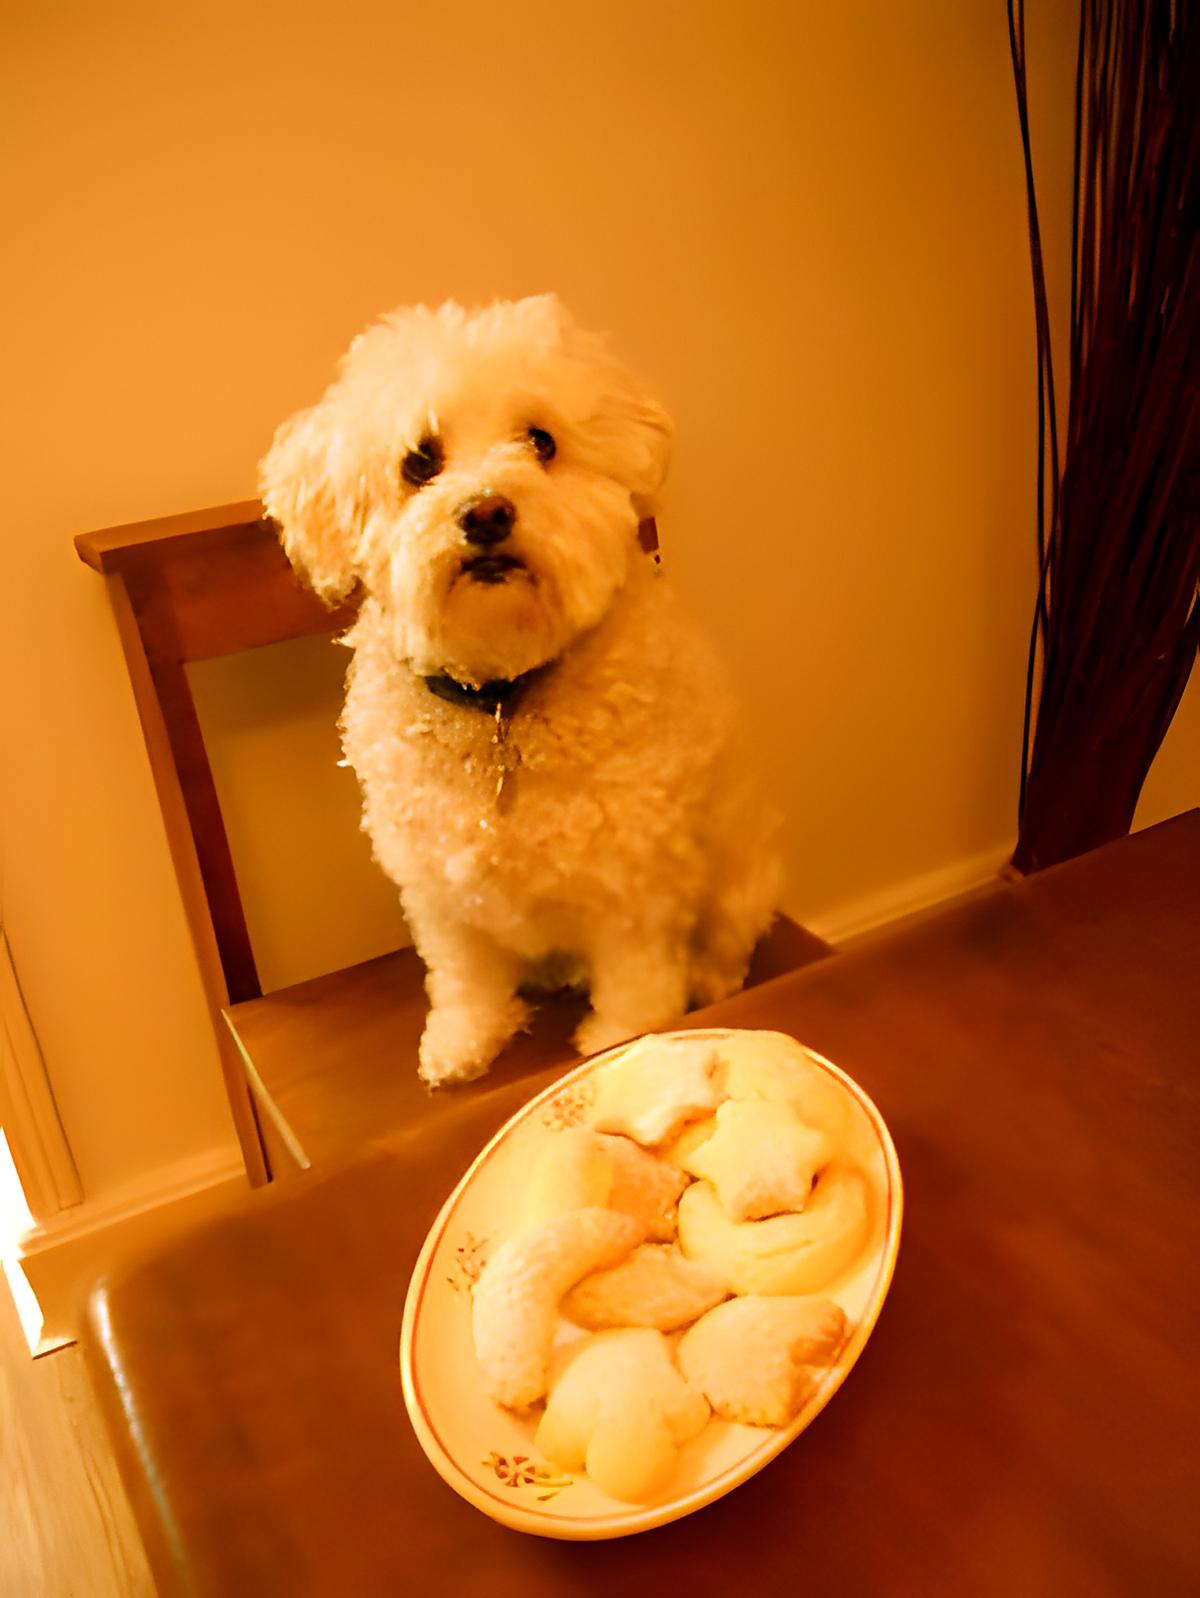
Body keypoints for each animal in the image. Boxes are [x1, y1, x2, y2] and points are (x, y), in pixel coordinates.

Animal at [258, 297, 782, 1086]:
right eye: (419, 462)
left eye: (542, 441)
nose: (486, 513)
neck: (503, 699)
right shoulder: (438, 888)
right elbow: (463, 979)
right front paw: (463, 1042)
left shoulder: (632, 885)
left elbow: (636, 983)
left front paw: (621, 1041)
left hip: (738, 881)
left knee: (727, 940)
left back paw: (710, 980)